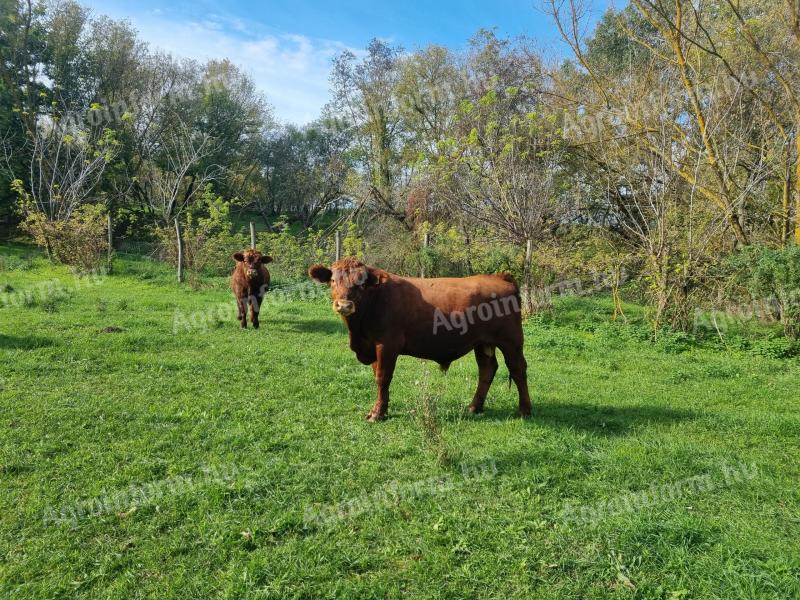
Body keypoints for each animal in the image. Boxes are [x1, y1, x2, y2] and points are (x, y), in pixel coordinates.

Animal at [308, 258, 532, 422]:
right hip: (483, 342)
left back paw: (525, 410)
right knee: (487, 369)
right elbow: (378, 377)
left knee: (517, 369)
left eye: (361, 284)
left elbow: (383, 377)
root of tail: (500, 277)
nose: (344, 305)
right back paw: (474, 407)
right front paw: (380, 410)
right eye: (333, 281)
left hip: (511, 341)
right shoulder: (372, 346)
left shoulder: (387, 345)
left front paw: (378, 414)